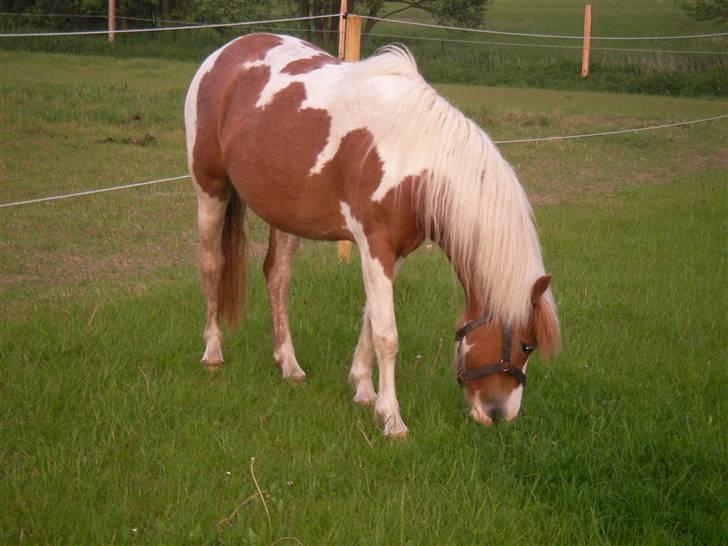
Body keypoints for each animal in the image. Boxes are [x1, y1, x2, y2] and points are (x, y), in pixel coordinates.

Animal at [184, 33, 560, 438]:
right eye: (526, 346)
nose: (499, 414)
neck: (413, 158)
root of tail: (226, 53)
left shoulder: (393, 252)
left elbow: (368, 320)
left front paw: (365, 392)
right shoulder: (374, 244)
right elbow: (387, 335)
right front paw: (393, 420)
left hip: (283, 214)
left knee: (277, 278)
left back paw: (290, 365)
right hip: (210, 189)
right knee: (212, 264)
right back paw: (212, 353)